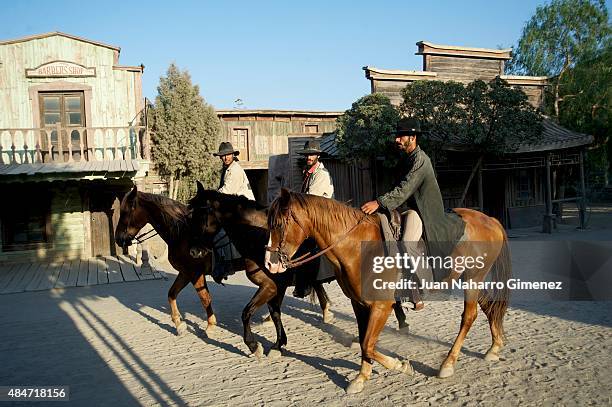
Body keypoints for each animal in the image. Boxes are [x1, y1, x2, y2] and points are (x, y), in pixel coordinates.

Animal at [115, 186, 218, 336]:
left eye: (125, 212)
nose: (118, 238)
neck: (184, 233)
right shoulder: (185, 273)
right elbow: (171, 294)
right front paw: (178, 324)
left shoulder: (195, 273)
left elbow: (205, 298)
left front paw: (210, 326)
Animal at [186, 182, 408, 356]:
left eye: (202, 215)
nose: (194, 251)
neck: (258, 237)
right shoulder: (275, 287)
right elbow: (274, 312)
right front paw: (278, 344)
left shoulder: (271, 286)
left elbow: (248, 312)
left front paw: (254, 345)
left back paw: (401, 323)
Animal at [266, 190, 510, 396]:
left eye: (278, 224)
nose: (270, 264)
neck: (358, 248)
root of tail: (489, 220)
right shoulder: (359, 304)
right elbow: (364, 342)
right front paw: (362, 378)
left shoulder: (381, 306)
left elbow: (368, 344)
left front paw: (400, 365)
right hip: (469, 279)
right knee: (489, 306)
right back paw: (494, 347)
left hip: (472, 279)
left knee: (469, 316)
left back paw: (448, 364)